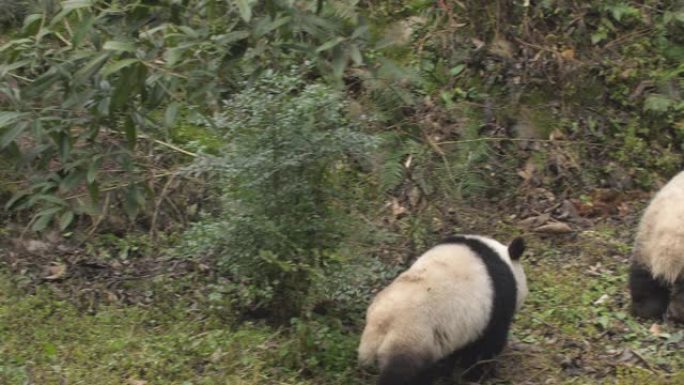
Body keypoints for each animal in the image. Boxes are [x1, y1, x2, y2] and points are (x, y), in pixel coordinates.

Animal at [358, 234, 528, 384]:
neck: (503, 258)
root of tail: (381, 325)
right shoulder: (497, 303)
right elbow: (485, 346)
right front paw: (479, 374)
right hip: (412, 338)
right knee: (405, 374)